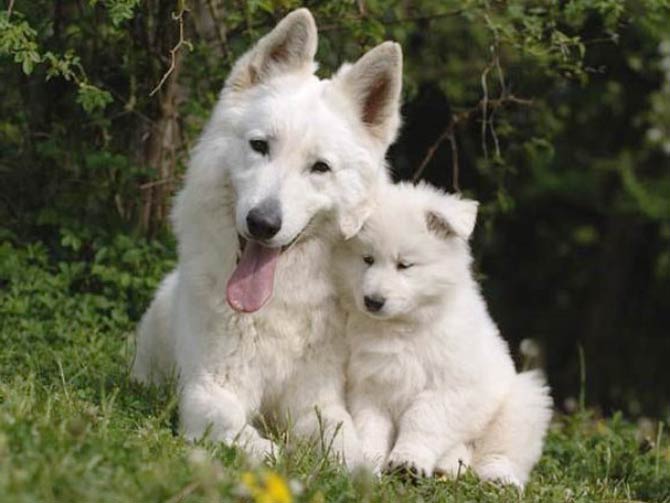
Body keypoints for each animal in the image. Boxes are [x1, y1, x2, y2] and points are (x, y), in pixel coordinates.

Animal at [133, 7, 402, 466]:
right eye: (260, 146)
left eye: (320, 168)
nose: (262, 223)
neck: (276, 307)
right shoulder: (207, 389)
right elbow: (237, 429)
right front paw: (272, 452)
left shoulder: (317, 400)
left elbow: (345, 443)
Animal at [334, 183, 552, 486]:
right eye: (367, 259)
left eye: (405, 265)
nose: (372, 301)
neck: (403, 327)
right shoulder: (370, 386)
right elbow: (370, 426)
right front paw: (367, 465)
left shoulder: (449, 387)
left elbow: (422, 420)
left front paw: (407, 462)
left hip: (521, 402)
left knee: (502, 452)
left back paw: (498, 478)